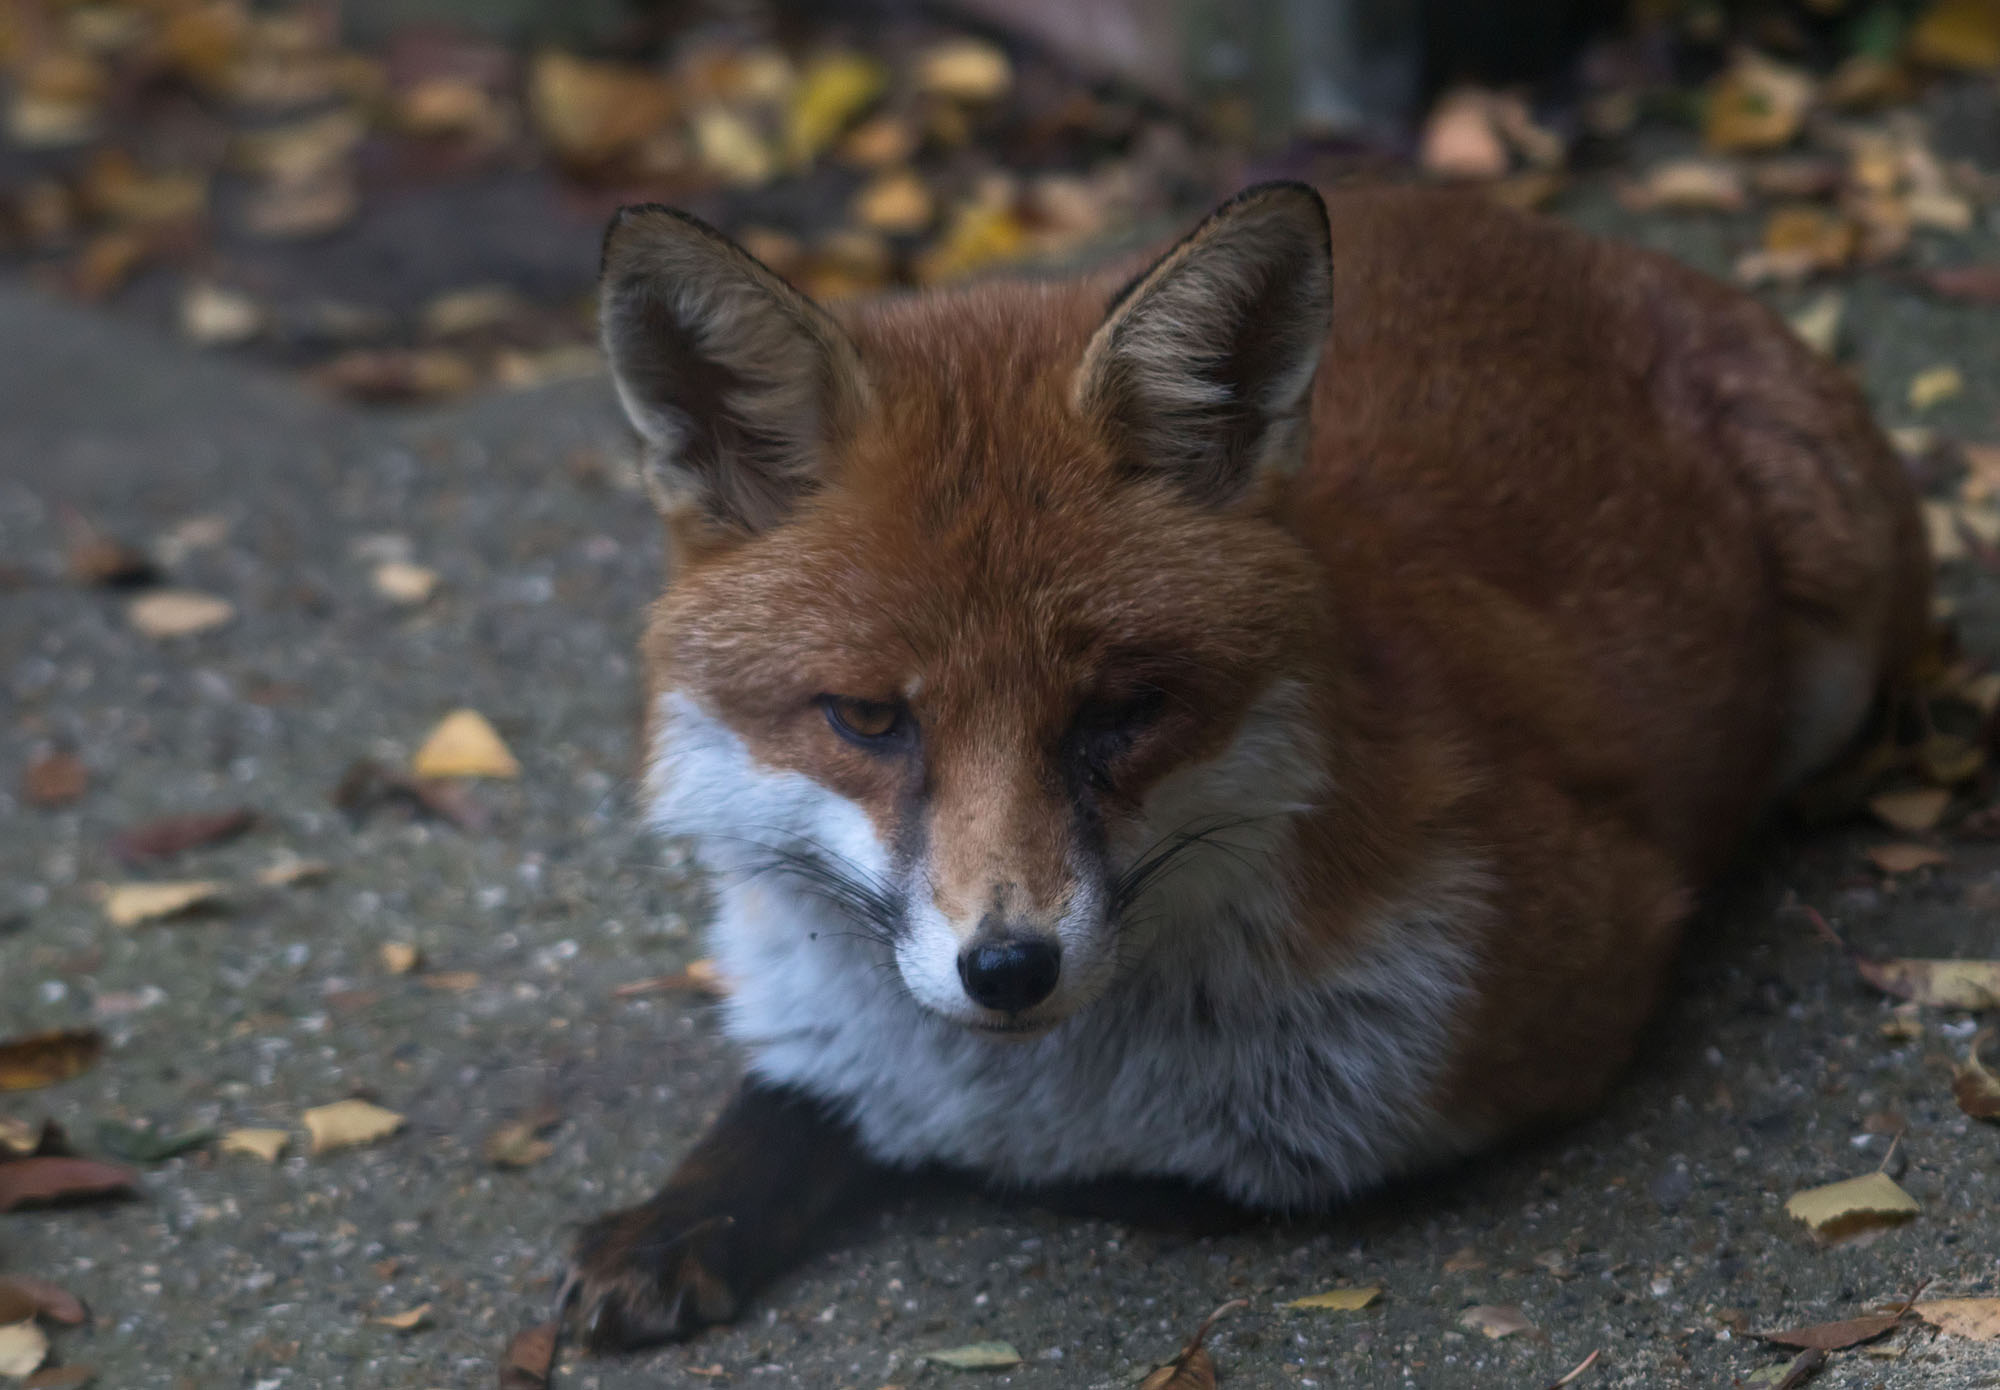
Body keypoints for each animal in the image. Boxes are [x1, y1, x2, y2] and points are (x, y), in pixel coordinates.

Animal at [563, 180, 1929, 1348]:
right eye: (865, 718)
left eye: (1120, 711)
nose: (1006, 968)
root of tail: (1560, 232)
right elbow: (794, 1100)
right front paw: (682, 1213)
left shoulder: (1574, 976)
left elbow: (1146, 1173)